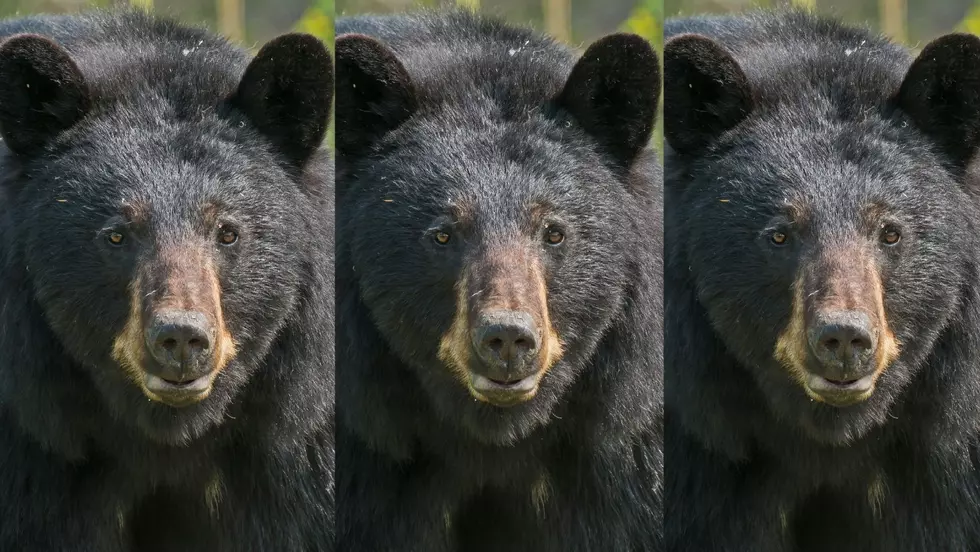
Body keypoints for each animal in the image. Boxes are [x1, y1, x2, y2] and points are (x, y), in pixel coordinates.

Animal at [0, 9, 336, 552]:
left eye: (227, 232)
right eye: (116, 235)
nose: (181, 338)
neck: (167, 434)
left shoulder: (294, 449)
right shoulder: (32, 438)